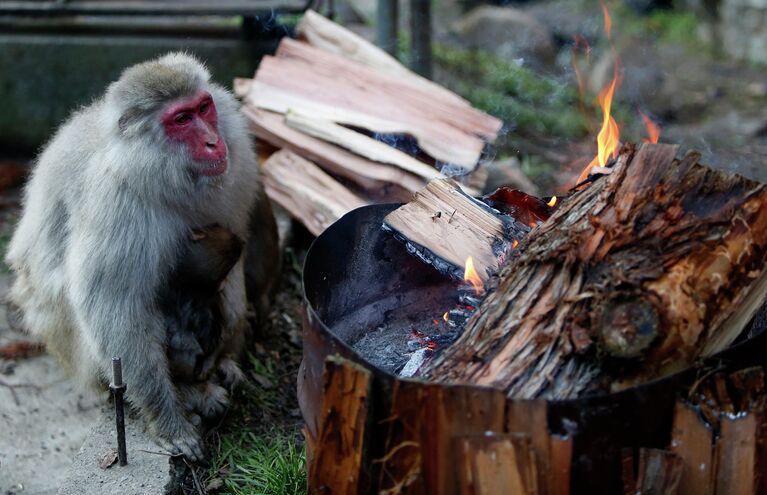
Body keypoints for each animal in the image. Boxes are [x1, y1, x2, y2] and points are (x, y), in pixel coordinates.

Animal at [6, 52, 280, 460]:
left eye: (203, 107)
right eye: (181, 120)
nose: (213, 142)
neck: (164, 173)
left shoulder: (240, 157)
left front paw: (234, 338)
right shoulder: (119, 203)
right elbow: (115, 307)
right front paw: (168, 421)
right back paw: (189, 390)